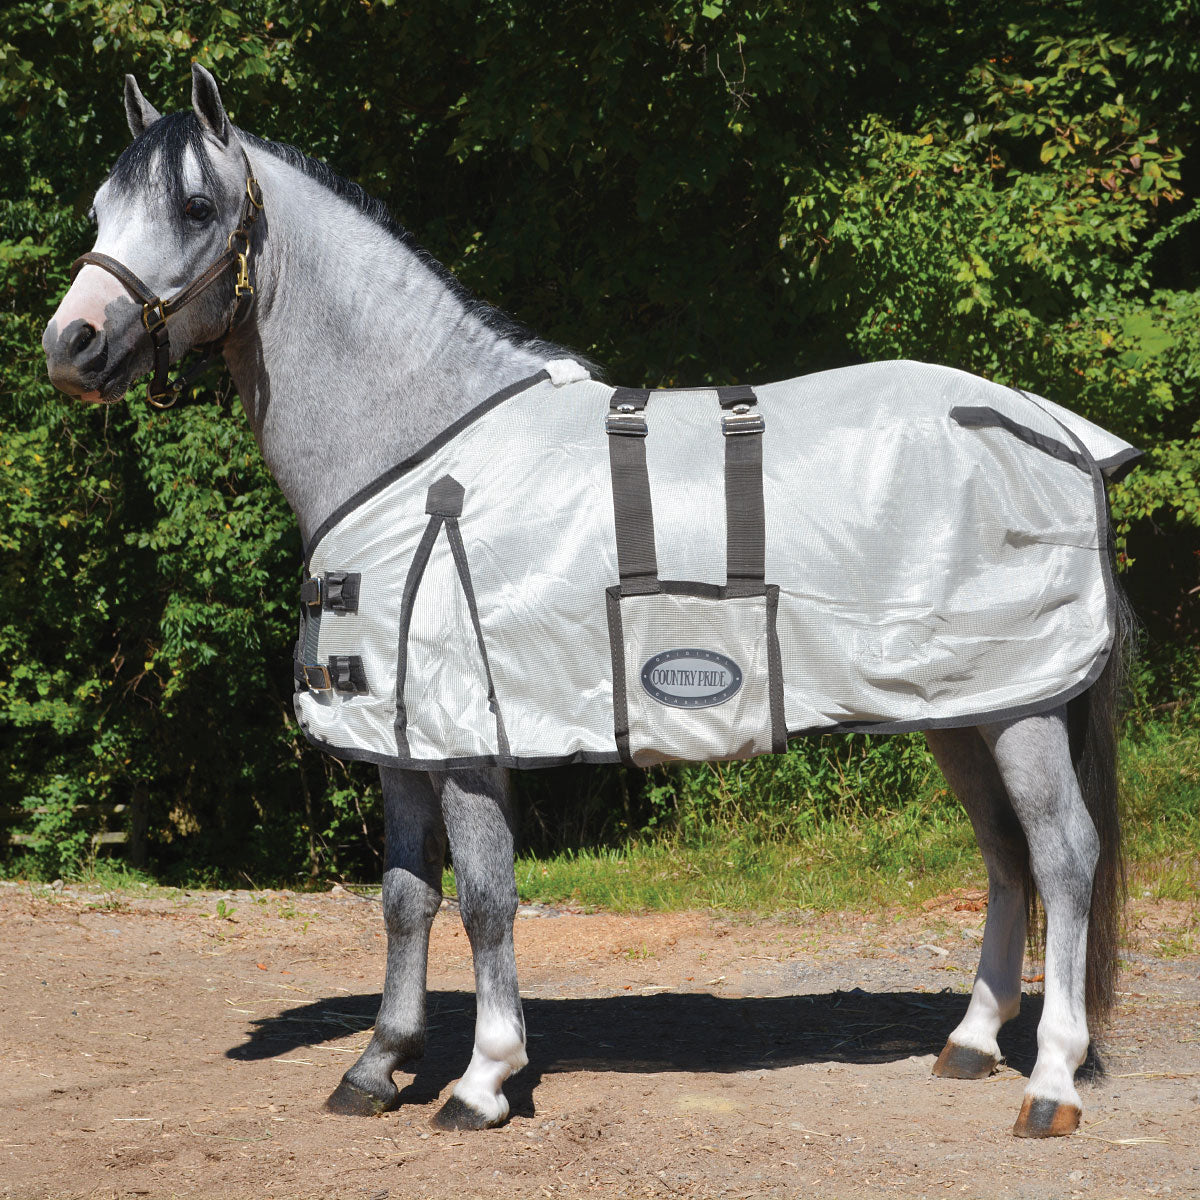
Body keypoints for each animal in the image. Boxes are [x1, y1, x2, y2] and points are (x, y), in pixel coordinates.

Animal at [42, 65, 1132, 1139]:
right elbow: (403, 898)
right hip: (961, 708)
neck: (415, 442)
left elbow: (486, 898)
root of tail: (1050, 427)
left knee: (1063, 856)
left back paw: (1050, 1083)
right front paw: (379, 1064)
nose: (70, 345)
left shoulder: (468, 742)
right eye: (99, 208)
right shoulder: (401, 739)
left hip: (1022, 707)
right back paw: (971, 1042)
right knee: (1005, 854)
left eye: (195, 206)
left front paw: (483, 1079)